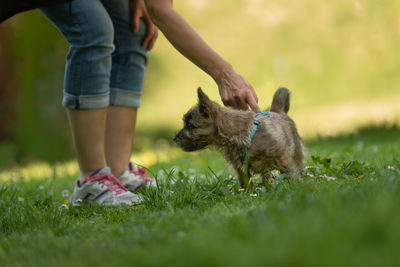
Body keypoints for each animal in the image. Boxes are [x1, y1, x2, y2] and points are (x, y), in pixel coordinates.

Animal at [173, 88, 304, 188]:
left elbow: (289, 174)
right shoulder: (241, 170)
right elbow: (246, 186)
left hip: (297, 153)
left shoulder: (282, 158)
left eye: (190, 125)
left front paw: (293, 188)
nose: (174, 139)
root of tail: (277, 111)